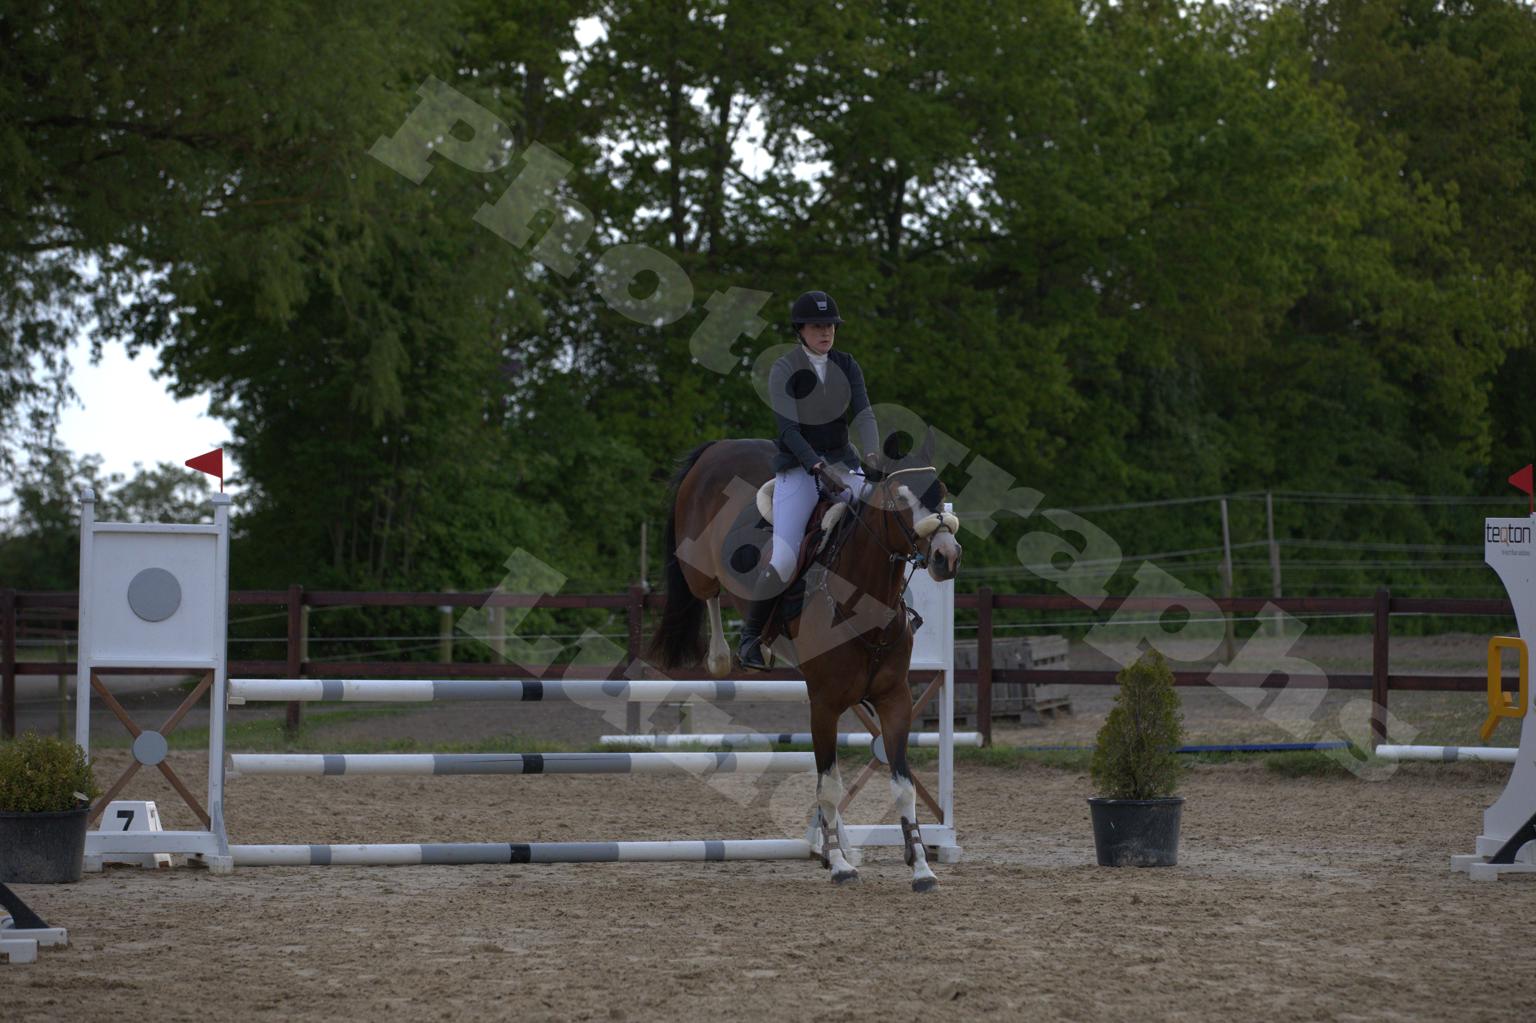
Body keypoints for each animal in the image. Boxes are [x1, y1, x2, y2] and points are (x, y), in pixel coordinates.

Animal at [646, 432, 962, 891]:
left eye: (941, 493)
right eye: (899, 502)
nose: (946, 557)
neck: (864, 602)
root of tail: (720, 446)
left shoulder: (894, 699)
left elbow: (902, 785)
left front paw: (921, 867)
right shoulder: (825, 705)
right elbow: (828, 787)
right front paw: (841, 867)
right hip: (698, 567)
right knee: (708, 592)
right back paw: (725, 655)